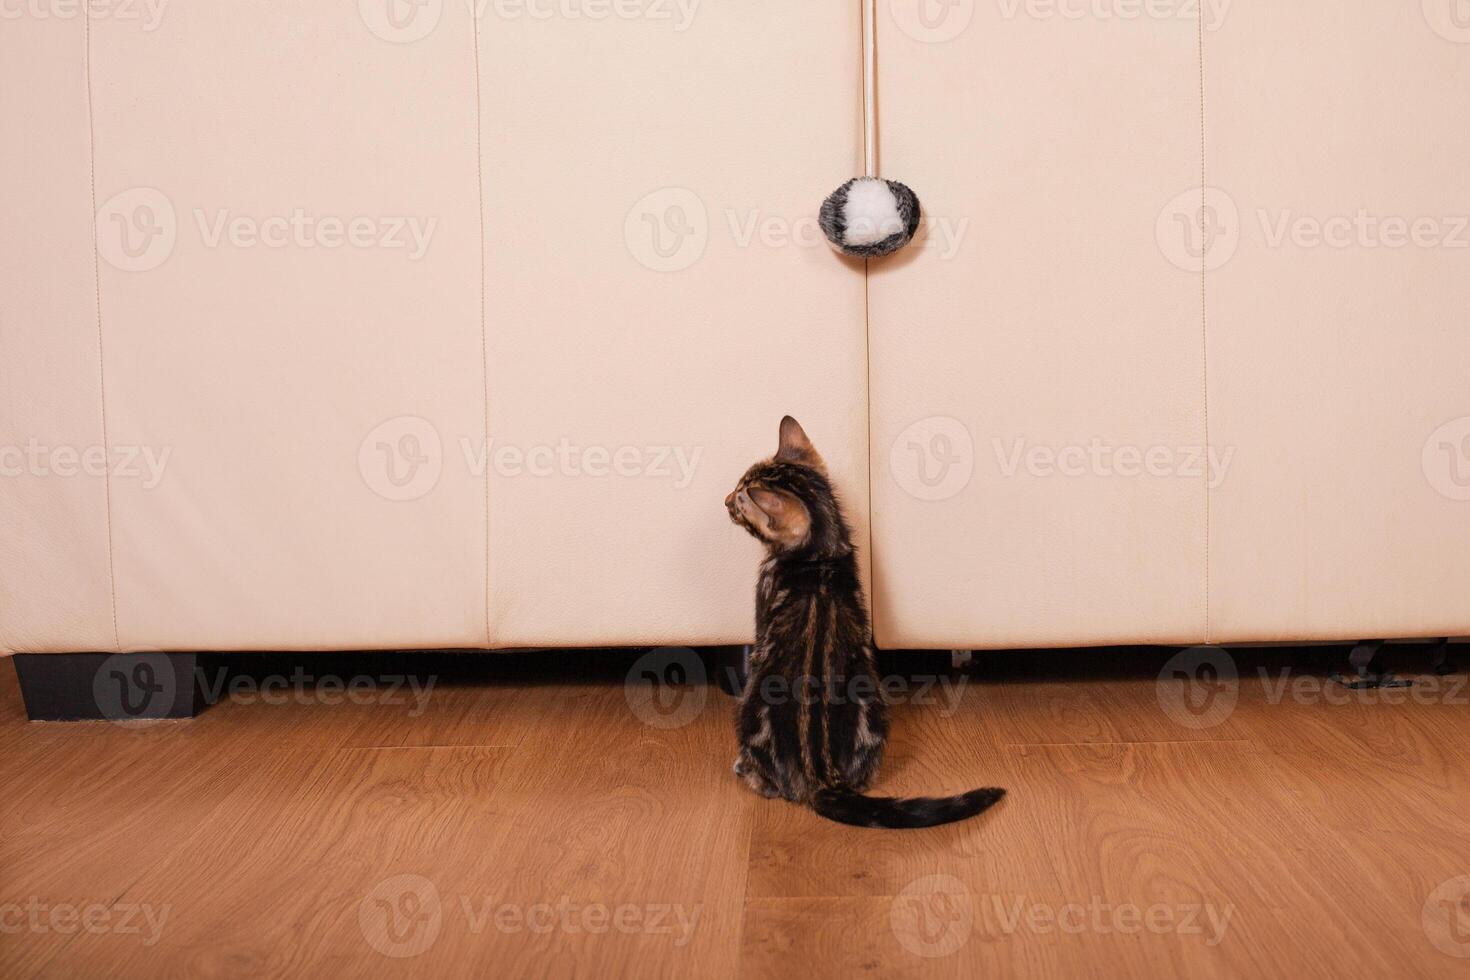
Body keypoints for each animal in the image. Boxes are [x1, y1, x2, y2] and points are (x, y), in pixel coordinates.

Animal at [726, 417, 1011, 834]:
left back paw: (747, 771)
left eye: (741, 500)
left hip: (750, 708)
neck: (821, 554)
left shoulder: (762, 613)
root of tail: (822, 773)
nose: (725, 500)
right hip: (875, 709)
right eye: (736, 486)